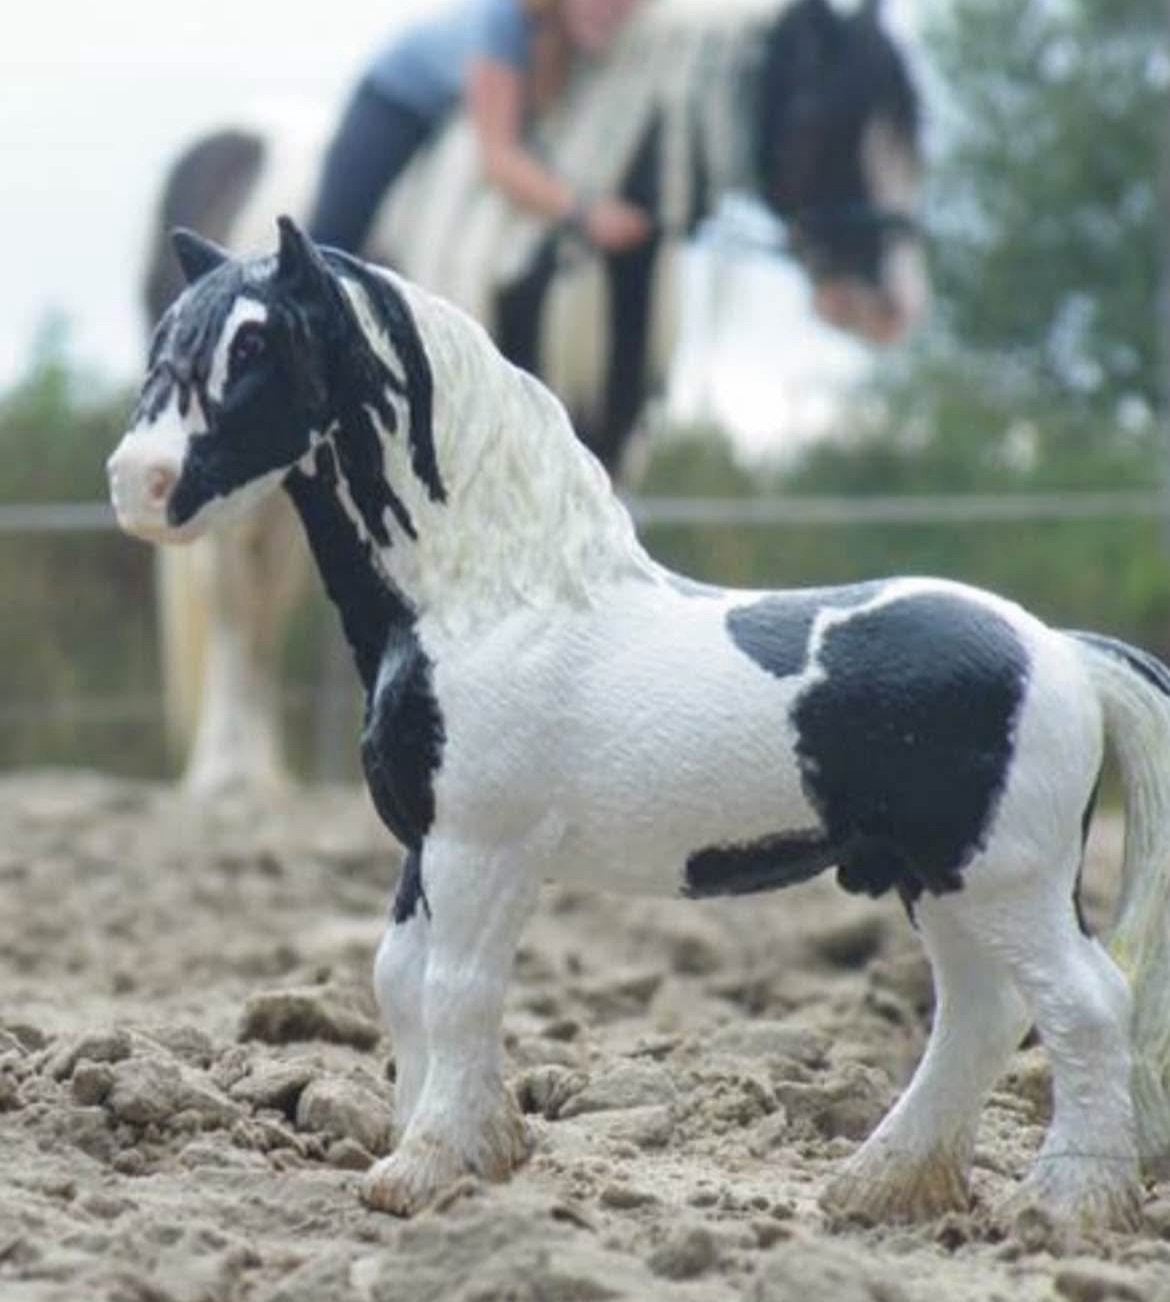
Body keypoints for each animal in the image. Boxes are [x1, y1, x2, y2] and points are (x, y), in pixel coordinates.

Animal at [109, 217, 1170, 1227]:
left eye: (256, 344)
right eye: (166, 338)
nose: (136, 485)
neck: (491, 602)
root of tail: (1066, 652)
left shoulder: (482, 849)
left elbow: (457, 992)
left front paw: (424, 1170)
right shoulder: (425, 847)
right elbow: (399, 981)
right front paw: (443, 1148)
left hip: (1004, 881)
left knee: (1084, 1005)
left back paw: (1062, 1208)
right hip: (938, 883)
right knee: (980, 1015)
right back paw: (878, 1189)